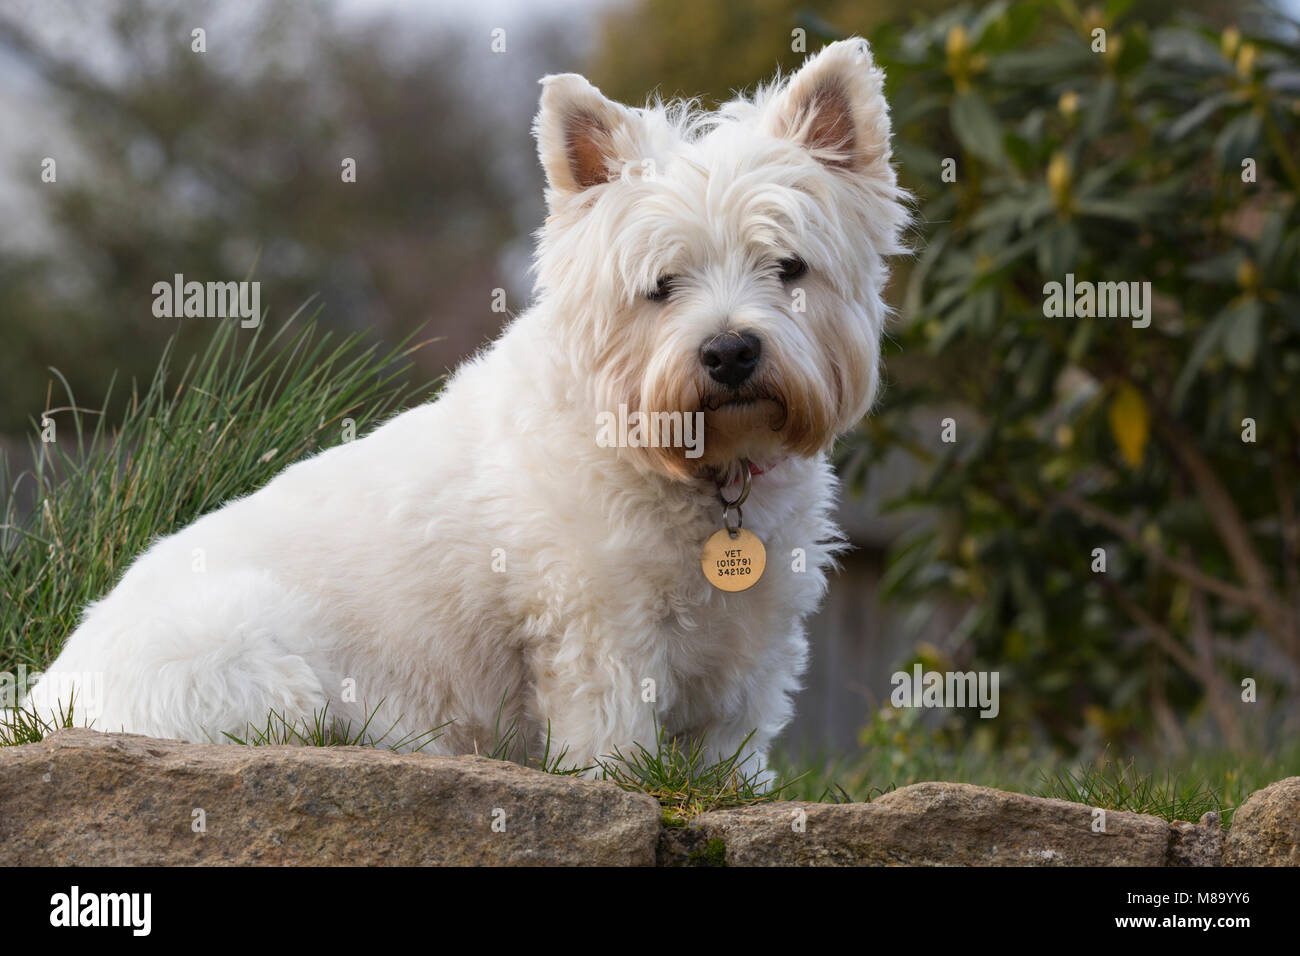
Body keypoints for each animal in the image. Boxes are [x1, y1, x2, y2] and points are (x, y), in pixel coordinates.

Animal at [25, 39, 909, 785]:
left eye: (789, 267)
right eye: (661, 285)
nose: (729, 353)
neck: (698, 474)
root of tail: (41, 698)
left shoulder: (753, 640)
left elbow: (733, 748)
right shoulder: (599, 627)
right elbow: (612, 742)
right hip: (258, 676)